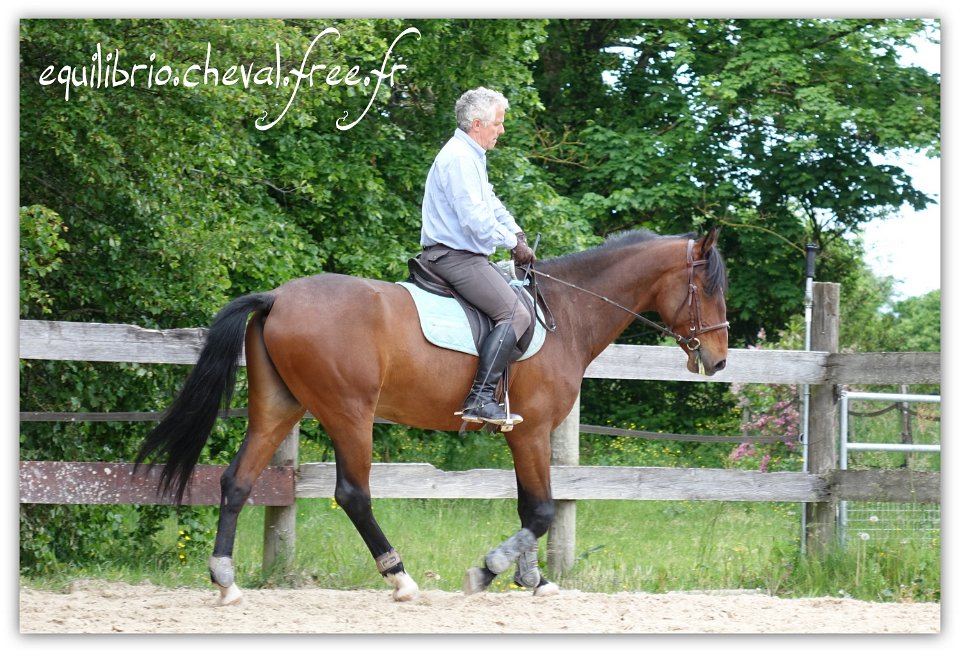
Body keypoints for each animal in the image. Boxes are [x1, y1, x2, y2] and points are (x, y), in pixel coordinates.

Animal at [135, 229, 728, 604]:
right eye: (708, 288)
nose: (718, 360)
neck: (565, 315)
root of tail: (278, 296)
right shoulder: (532, 431)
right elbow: (540, 511)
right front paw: (488, 571)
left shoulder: (523, 435)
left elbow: (532, 507)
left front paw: (533, 580)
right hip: (349, 411)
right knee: (353, 494)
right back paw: (400, 579)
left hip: (279, 406)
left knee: (237, 482)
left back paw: (226, 581)